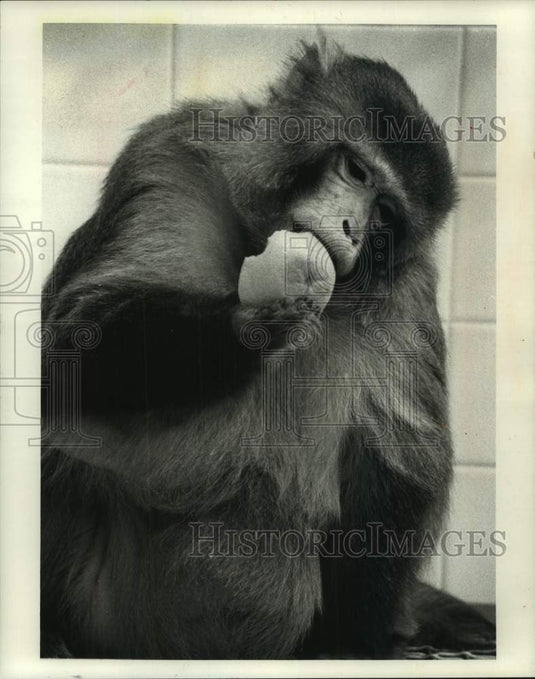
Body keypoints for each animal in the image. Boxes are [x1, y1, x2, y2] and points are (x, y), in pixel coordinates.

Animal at [41, 42, 495, 659]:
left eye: (385, 213)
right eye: (356, 170)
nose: (351, 226)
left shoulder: (406, 290)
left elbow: (397, 464)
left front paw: (349, 646)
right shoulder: (171, 163)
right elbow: (73, 350)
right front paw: (257, 320)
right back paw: (55, 634)